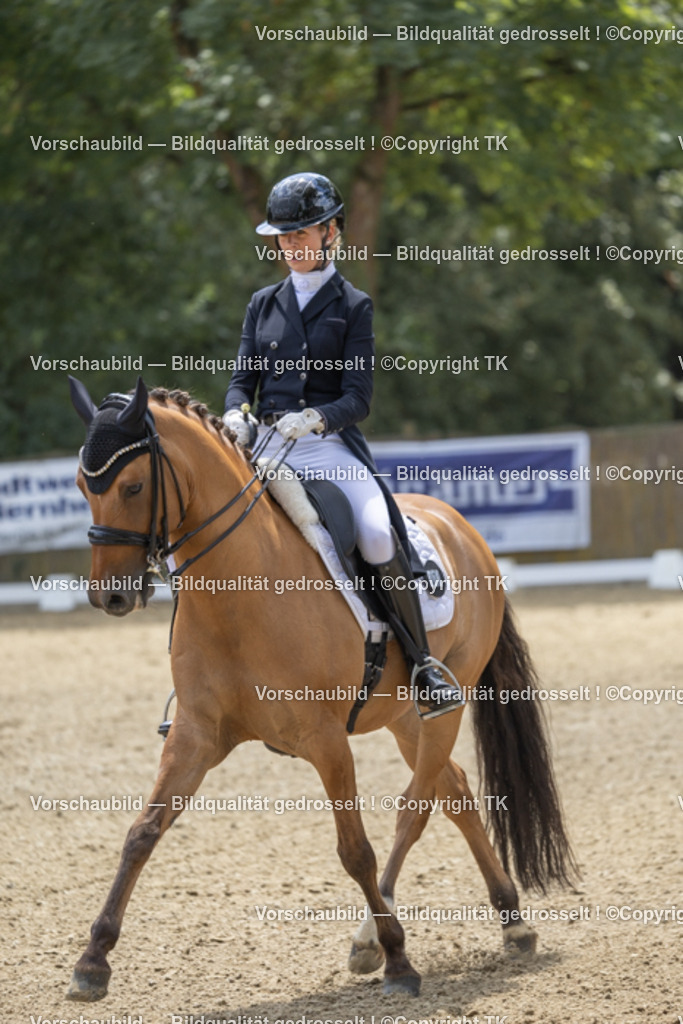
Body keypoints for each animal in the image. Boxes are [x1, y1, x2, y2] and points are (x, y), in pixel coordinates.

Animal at [66, 376, 576, 1001]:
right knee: (454, 791)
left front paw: (399, 962)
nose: (109, 597)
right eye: (83, 487)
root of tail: (459, 523)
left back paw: (372, 939)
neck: (238, 587)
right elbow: (142, 832)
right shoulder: (195, 736)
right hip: (405, 716)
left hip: (443, 705)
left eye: (134, 485)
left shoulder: (326, 741)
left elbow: (355, 850)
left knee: (416, 806)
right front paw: (92, 961)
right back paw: (511, 921)